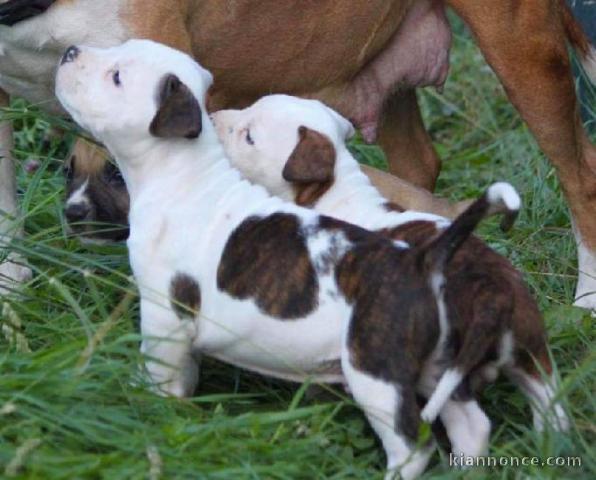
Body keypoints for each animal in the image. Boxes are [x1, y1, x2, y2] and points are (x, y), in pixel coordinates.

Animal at [56, 40, 544, 476]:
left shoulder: (165, 316)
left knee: (411, 448)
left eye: (117, 76)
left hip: (377, 374)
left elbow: (160, 369)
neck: (181, 174)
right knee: (473, 427)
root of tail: (425, 262)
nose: (69, 51)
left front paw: (151, 408)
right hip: (438, 369)